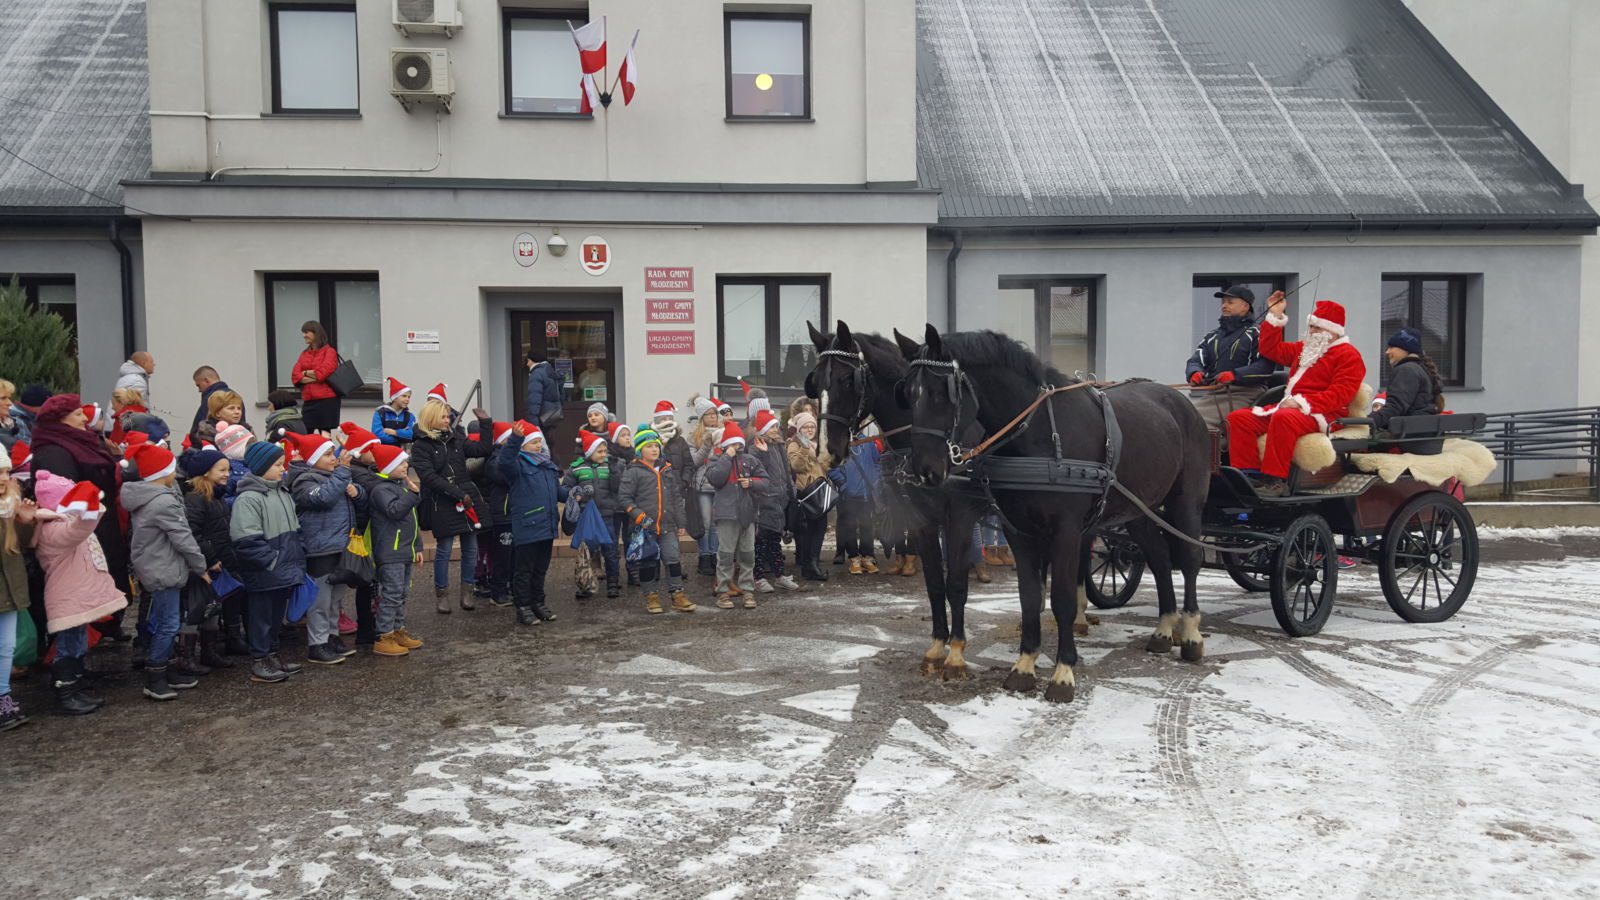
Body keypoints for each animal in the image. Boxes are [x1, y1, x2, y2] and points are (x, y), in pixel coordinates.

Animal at [806, 318, 992, 675]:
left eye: (847, 379)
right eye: (815, 382)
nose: (826, 452)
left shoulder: (960, 517)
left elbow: (956, 584)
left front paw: (956, 654)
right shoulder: (921, 519)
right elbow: (934, 584)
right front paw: (936, 648)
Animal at [896, 323, 1203, 701]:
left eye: (943, 392)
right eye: (907, 393)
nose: (925, 470)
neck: (1041, 434)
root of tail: (1179, 401)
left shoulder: (1065, 531)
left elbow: (1062, 599)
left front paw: (1063, 674)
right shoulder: (1017, 530)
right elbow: (1029, 597)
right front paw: (1024, 666)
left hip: (1185, 502)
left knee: (1190, 558)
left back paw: (1190, 633)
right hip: (1139, 510)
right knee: (1159, 558)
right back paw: (1163, 629)